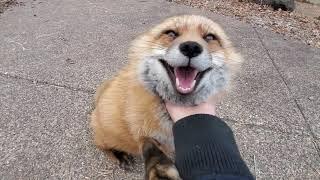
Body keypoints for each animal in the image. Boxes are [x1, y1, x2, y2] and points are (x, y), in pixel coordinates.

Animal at [89, 14, 241, 179]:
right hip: (107, 135)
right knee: (101, 145)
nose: (191, 47)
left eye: (209, 37)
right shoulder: (145, 135)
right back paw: (119, 155)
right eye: (171, 33)